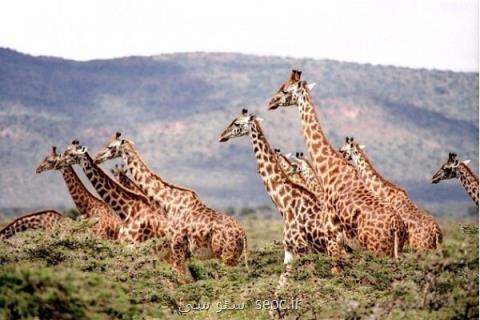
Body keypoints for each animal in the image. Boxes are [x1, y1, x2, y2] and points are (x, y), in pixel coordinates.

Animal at [93, 131, 248, 268]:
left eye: (110, 147)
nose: (97, 157)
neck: (169, 202)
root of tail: (243, 235)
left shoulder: (177, 247)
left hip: (225, 256)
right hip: (233, 257)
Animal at [219, 109, 346, 282]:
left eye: (237, 123)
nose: (222, 136)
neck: (284, 202)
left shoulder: (301, 248)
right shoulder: (289, 249)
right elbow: (281, 284)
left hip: (333, 253)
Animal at [268, 70, 406, 258]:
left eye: (285, 91)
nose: (271, 102)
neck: (329, 168)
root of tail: (396, 227)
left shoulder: (333, 236)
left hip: (376, 248)